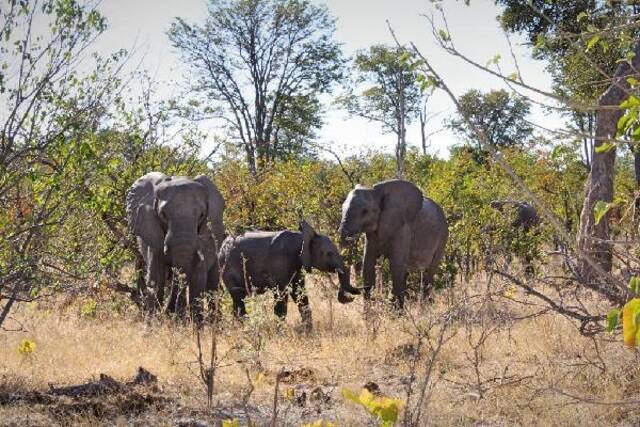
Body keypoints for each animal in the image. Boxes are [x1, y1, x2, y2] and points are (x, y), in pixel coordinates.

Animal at [125, 172, 225, 320]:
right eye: (163, 215)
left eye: (202, 215)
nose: (170, 312)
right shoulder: (152, 233)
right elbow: (156, 278)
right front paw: (154, 322)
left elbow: (198, 277)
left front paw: (195, 323)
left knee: (213, 284)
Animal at [219, 221, 360, 332]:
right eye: (329, 253)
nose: (350, 298)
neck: (301, 238)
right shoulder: (279, 262)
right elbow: (281, 296)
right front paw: (280, 332)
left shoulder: (297, 267)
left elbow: (300, 293)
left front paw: (308, 331)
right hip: (227, 267)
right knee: (238, 297)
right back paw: (245, 329)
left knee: (237, 300)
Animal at [338, 179, 448, 310]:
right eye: (342, 208)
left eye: (365, 211)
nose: (349, 298)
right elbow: (368, 264)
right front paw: (368, 314)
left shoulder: (403, 228)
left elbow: (396, 266)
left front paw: (397, 313)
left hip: (442, 237)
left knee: (429, 273)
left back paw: (425, 308)